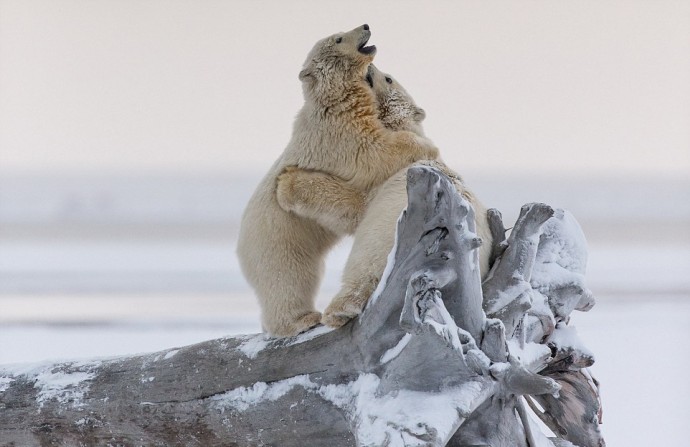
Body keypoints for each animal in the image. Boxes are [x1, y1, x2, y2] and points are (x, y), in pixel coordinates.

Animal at [236, 24, 438, 338]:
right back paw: (302, 319)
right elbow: (375, 151)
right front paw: (424, 145)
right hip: (278, 240)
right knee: (288, 280)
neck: (332, 101)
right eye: (339, 38)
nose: (365, 25)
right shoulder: (340, 132)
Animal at [280, 63, 494, 328]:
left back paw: (338, 311)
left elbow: (351, 205)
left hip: (386, 230)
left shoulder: (386, 173)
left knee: (365, 266)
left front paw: (286, 183)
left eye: (389, 78)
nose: (371, 66)